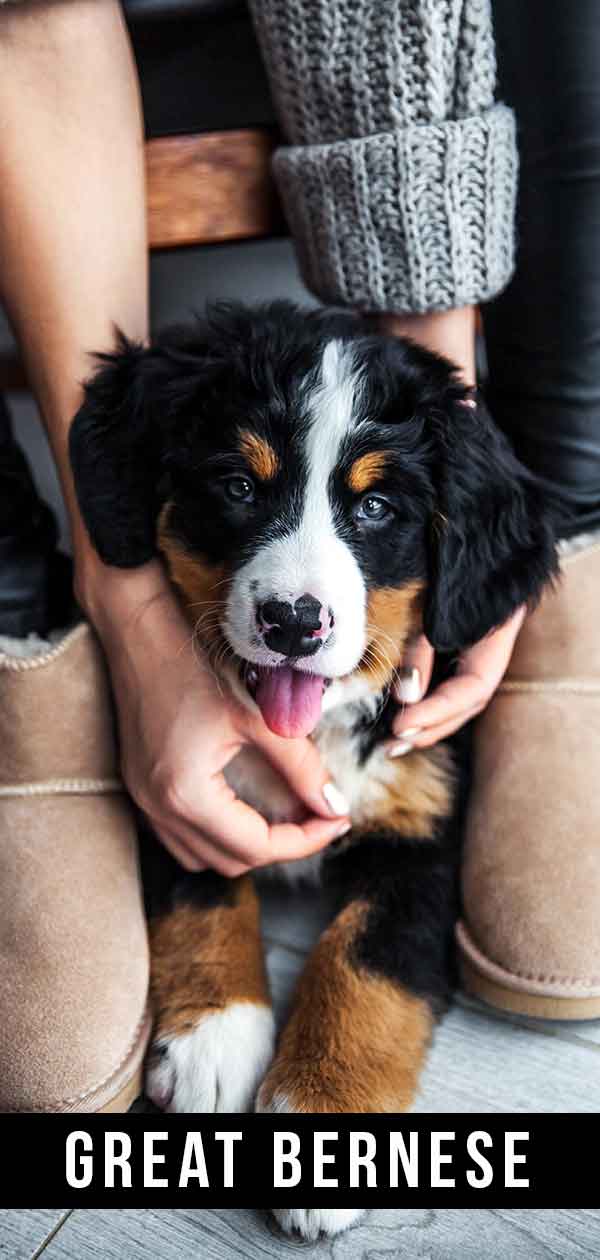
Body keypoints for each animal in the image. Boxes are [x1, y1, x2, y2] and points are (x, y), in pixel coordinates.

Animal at [71, 304, 557, 1239]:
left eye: (375, 506)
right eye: (239, 488)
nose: (293, 622)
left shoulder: (426, 827)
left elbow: (363, 964)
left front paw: (326, 1121)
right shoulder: (174, 788)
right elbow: (204, 896)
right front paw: (217, 1037)